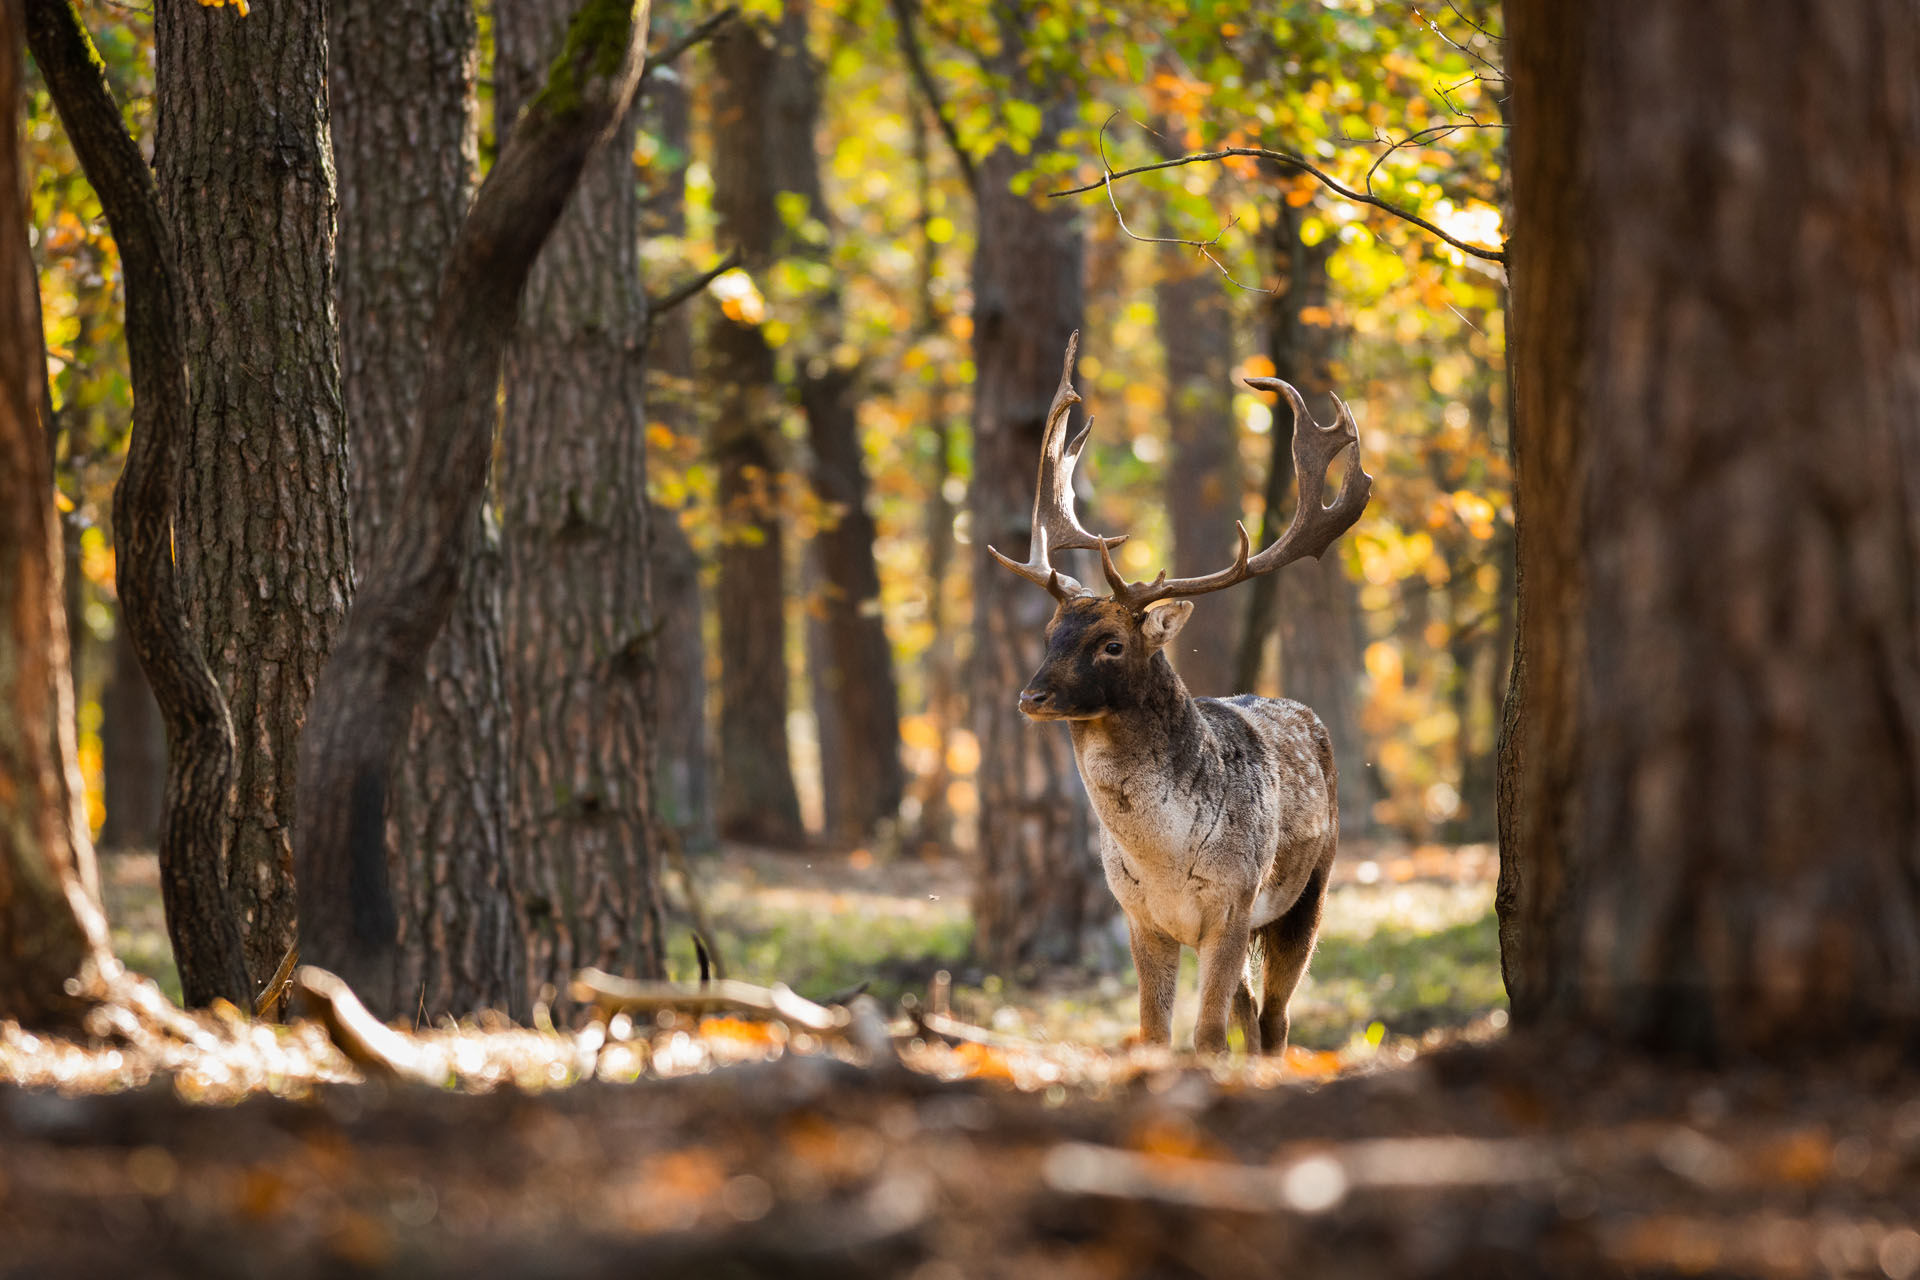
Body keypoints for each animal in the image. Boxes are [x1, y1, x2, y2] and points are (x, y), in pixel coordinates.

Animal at [990, 335, 1367, 1059]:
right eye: (1053, 633)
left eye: (1111, 643)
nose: (1031, 695)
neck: (1164, 860)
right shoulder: (1141, 917)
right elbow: (1155, 1032)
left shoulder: (1233, 901)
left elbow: (1209, 1036)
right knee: (1252, 1012)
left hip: (1311, 889)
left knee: (1275, 1019)